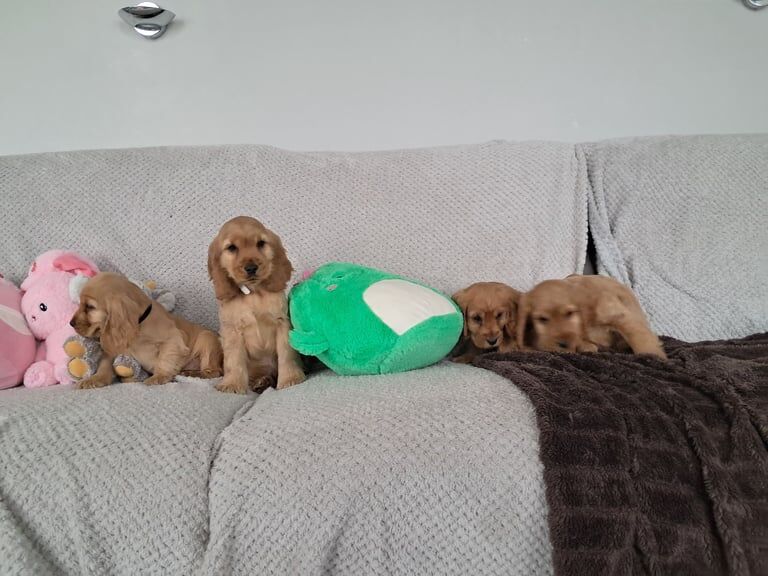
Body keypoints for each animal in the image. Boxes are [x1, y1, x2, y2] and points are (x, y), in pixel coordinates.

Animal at [70, 272, 222, 390]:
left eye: (90, 307)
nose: (71, 323)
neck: (139, 324)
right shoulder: (113, 348)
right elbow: (104, 365)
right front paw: (94, 379)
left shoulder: (174, 340)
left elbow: (165, 359)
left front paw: (159, 376)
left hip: (207, 338)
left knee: (215, 371)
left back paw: (193, 374)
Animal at [210, 216, 308, 396]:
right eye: (231, 247)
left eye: (261, 243)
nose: (251, 268)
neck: (253, 293)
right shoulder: (232, 330)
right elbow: (234, 361)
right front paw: (232, 384)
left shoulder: (281, 323)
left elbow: (286, 354)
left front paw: (290, 379)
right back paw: (261, 382)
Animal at [520, 276, 664, 360]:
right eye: (542, 319)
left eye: (569, 313)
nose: (563, 344)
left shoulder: (620, 315)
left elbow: (641, 340)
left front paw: (655, 357)